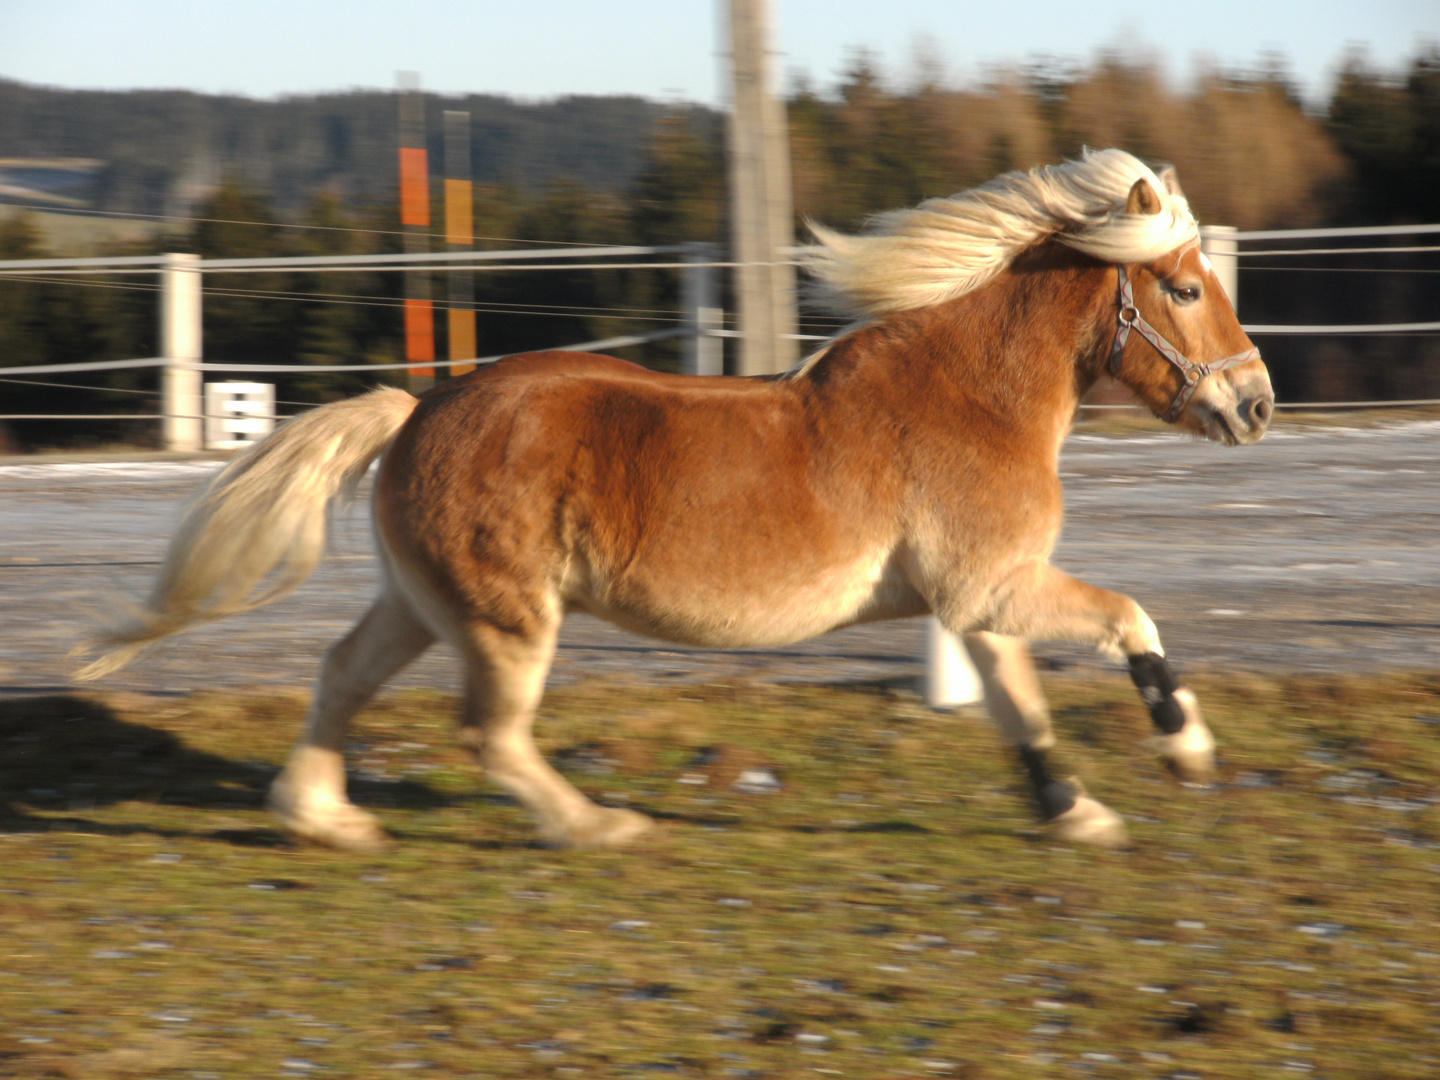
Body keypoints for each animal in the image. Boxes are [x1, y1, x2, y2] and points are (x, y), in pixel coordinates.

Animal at [78, 148, 1272, 852]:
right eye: (1182, 286)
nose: (1256, 404)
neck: (968, 397)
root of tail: (417, 411)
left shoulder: (975, 600)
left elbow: (1021, 707)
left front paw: (1079, 813)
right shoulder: (995, 587)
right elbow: (1129, 621)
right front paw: (1186, 751)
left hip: (422, 606)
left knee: (341, 679)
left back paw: (322, 821)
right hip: (507, 619)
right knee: (490, 736)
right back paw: (597, 827)